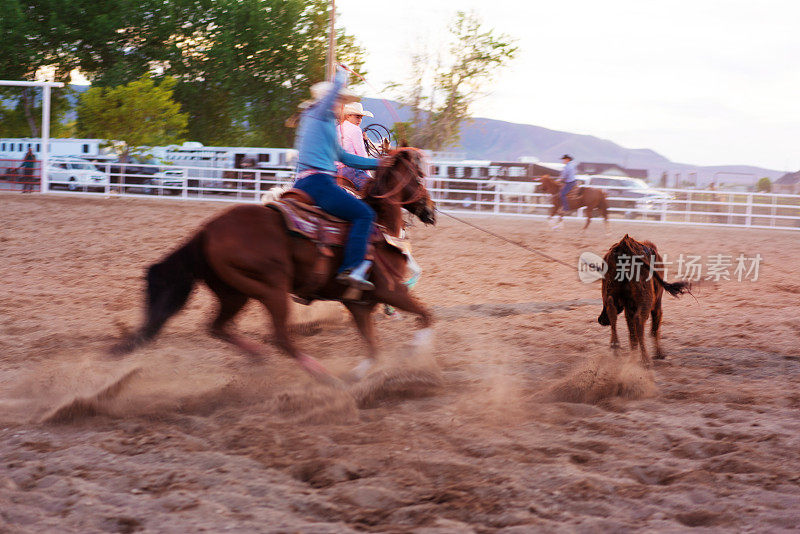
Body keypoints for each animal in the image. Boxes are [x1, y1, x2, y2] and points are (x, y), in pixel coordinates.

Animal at [111, 150, 434, 386]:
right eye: (418, 175)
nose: (430, 210)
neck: (380, 226)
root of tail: (205, 232)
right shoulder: (392, 292)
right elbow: (426, 317)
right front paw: (413, 353)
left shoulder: (359, 305)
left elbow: (373, 347)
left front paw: (359, 374)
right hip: (272, 289)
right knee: (281, 338)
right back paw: (323, 376)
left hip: (234, 293)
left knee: (217, 327)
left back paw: (260, 357)